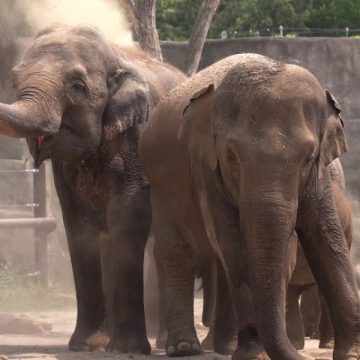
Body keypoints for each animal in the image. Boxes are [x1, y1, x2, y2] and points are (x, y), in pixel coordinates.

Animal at [0, 23, 186, 352]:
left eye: (77, 86)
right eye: (13, 78)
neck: (118, 58)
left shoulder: (137, 134)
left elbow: (127, 215)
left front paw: (128, 349)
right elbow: (78, 225)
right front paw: (87, 346)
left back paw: (165, 343)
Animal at [139, 54, 360, 360]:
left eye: (308, 157)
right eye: (232, 156)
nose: (304, 356)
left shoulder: (321, 176)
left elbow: (327, 239)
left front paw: (351, 354)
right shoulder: (207, 169)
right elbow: (235, 245)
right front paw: (255, 354)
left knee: (220, 264)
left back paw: (223, 347)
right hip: (161, 188)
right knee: (177, 253)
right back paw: (184, 348)